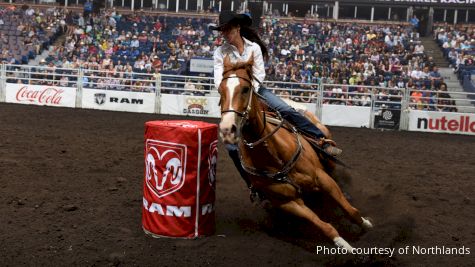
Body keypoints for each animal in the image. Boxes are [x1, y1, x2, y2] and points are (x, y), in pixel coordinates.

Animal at [218, 55, 374, 252]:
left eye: (245, 89)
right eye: (220, 90)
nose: (226, 129)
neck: (274, 156)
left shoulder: (322, 178)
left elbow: (350, 210)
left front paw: (366, 225)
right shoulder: (288, 203)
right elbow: (323, 225)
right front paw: (346, 246)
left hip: (328, 156)